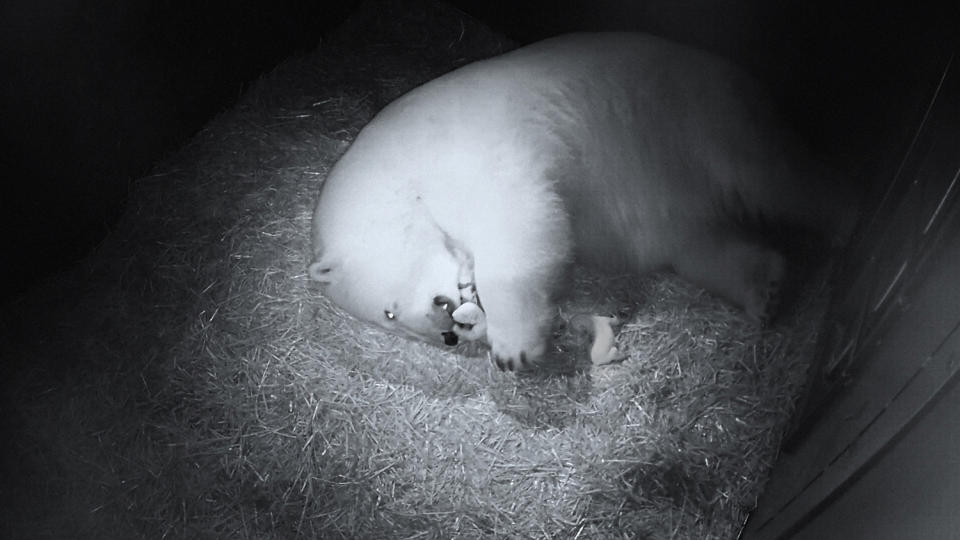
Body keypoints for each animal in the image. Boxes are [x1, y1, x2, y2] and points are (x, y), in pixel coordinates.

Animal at [308, 31, 856, 372]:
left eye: (389, 312)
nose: (446, 329)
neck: (396, 163)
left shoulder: (473, 150)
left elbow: (520, 219)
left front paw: (512, 348)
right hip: (670, 197)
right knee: (700, 247)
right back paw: (764, 289)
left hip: (696, 118)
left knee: (772, 175)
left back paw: (846, 214)